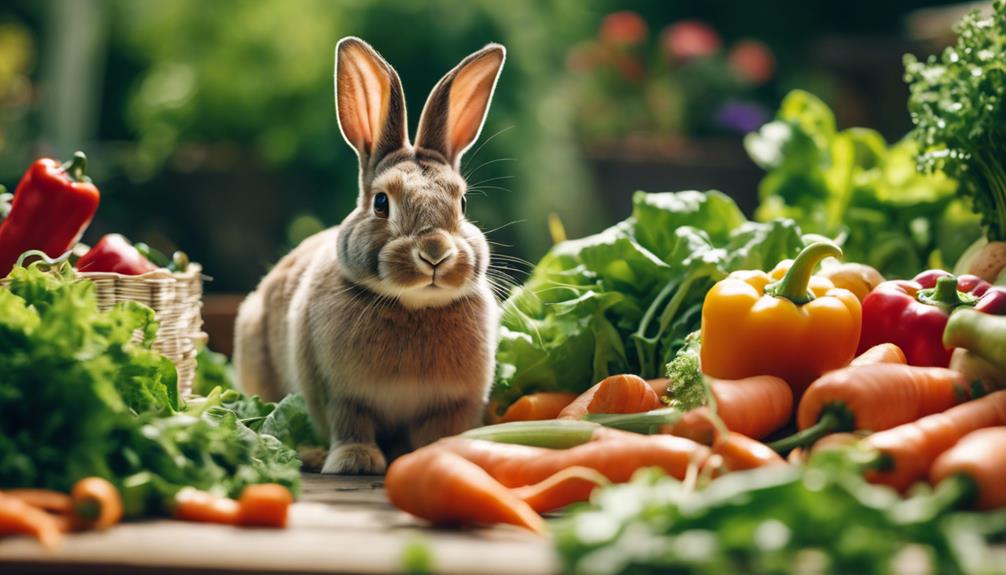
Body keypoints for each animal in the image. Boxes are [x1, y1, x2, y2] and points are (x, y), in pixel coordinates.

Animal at [233, 37, 505, 475]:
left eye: (462, 203)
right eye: (381, 203)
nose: (435, 252)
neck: (414, 308)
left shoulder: (452, 403)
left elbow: (438, 431)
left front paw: (436, 452)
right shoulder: (341, 395)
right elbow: (351, 425)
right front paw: (355, 462)